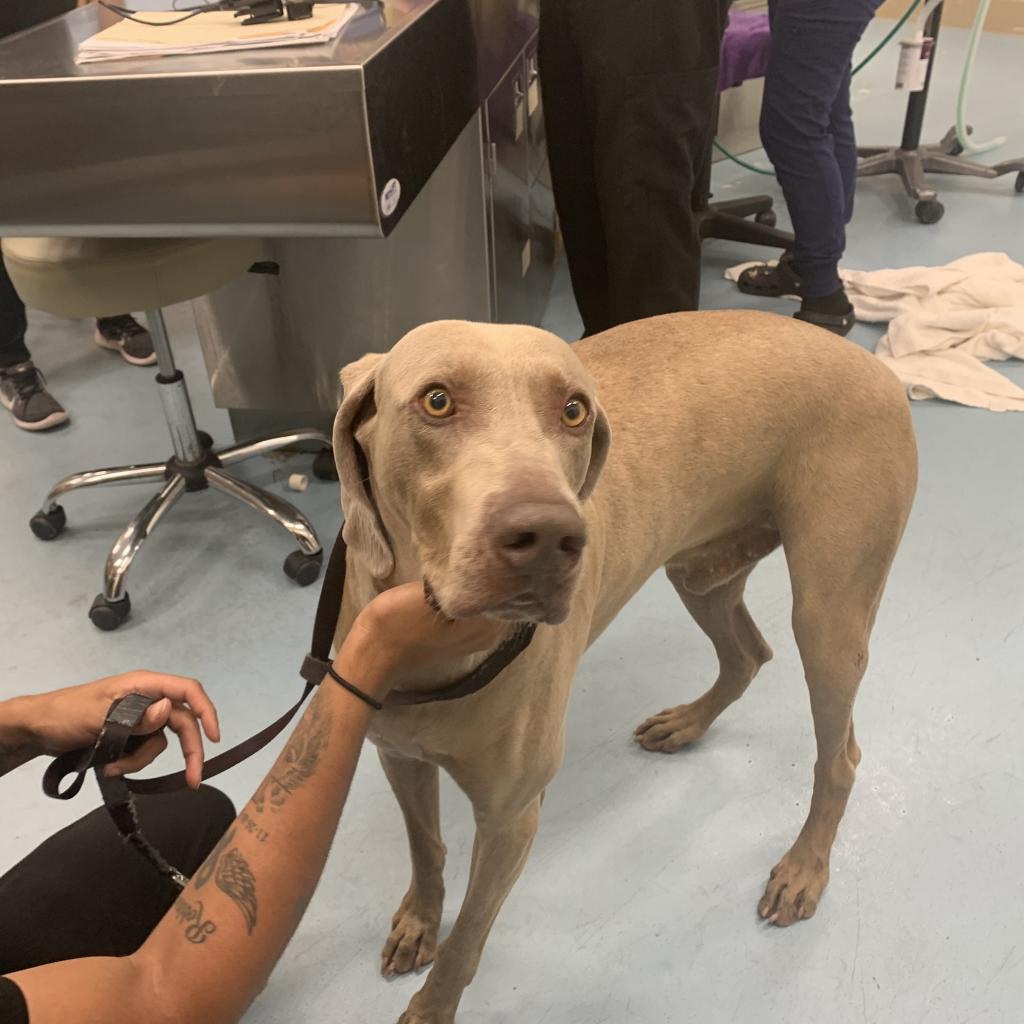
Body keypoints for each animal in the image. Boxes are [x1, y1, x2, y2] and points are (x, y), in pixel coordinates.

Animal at [331, 311, 917, 1024]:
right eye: (437, 401)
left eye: (574, 410)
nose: (550, 538)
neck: (441, 649)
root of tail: (874, 366)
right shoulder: (400, 755)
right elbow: (426, 849)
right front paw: (420, 921)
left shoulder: (512, 819)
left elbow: (469, 936)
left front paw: (432, 1006)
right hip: (700, 568)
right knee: (749, 654)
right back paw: (687, 725)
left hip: (829, 619)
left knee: (840, 758)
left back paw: (804, 867)